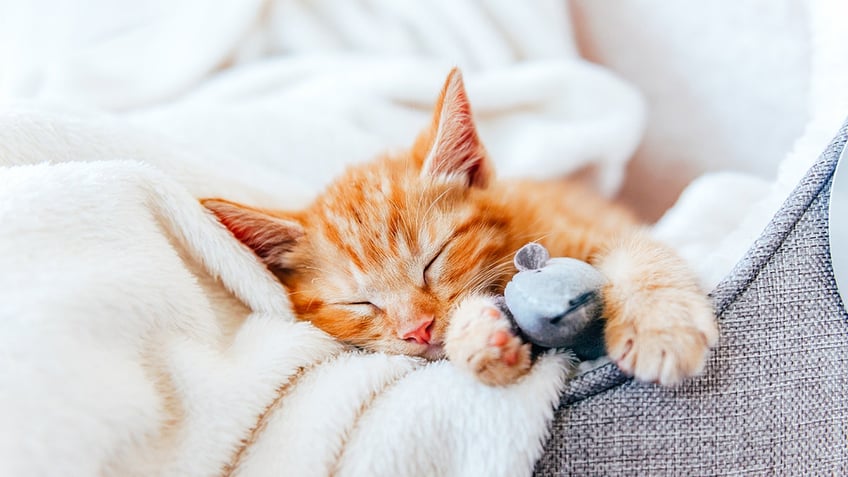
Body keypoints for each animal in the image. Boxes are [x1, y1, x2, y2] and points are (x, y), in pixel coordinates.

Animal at [204, 68, 716, 386]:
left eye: (433, 259)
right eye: (357, 302)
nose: (417, 330)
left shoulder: (600, 228)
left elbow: (640, 254)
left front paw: (660, 327)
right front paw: (480, 340)